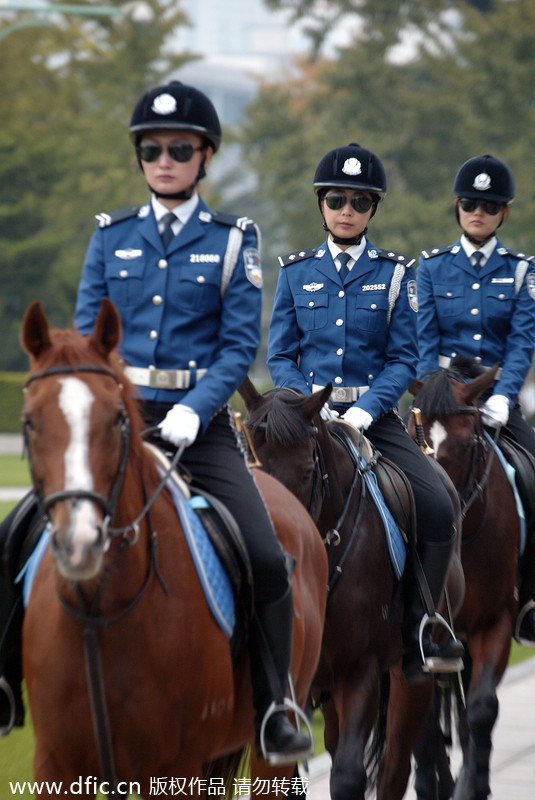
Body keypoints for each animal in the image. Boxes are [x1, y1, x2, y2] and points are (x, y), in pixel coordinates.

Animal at [19, 300, 326, 800]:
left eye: (117, 418)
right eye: (29, 421)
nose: (80, 542)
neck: (103, 607)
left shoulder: (174, 768)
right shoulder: (56, 766)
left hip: (270, 750)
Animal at [240, 380, 464, 800]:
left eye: (307, 472)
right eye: (249, 466)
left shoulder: (359, 670)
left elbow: (347, 776)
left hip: (410, 678)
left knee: (395, 765)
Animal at [410, 368, 520, 800]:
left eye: (469, 443)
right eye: (413, 436)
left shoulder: (496, 621)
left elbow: (481, 709)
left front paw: (472, 784)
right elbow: (425, 728)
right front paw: (434, 783)